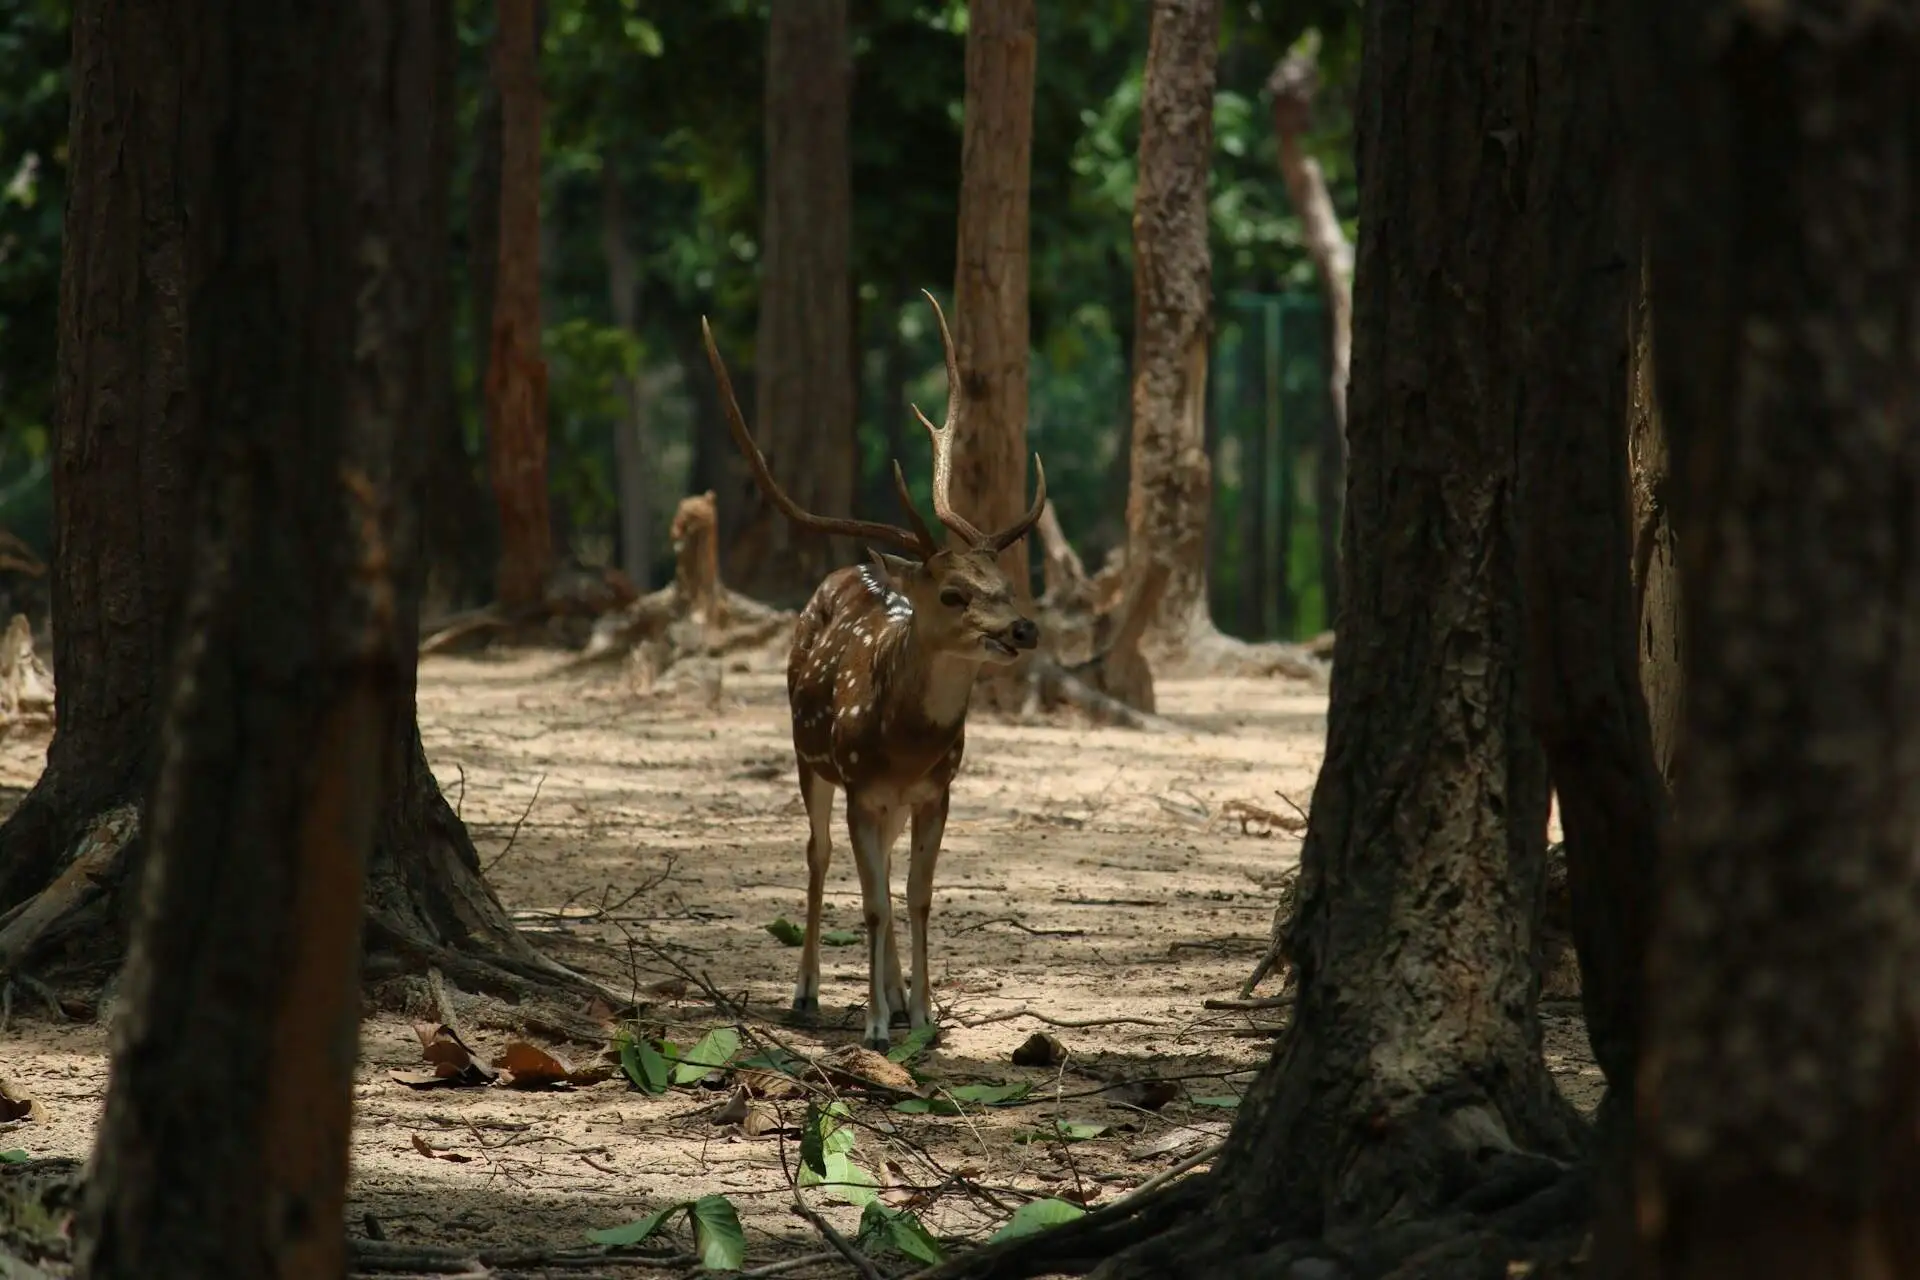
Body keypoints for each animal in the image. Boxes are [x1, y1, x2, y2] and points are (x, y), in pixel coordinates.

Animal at [700, 292, 1045, 1052]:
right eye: (953, 595)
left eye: (1004, 582)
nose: (1023, 629)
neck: (905, 741)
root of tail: (845, 570)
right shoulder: (860, 783)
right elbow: (875, 904)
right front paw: (879, 1026)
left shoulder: (937, 790)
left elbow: (914, 899)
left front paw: (923, 1013)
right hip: (810, 759)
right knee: (820, 855)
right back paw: (808, 992)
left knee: (878, 871)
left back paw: (891, 992)